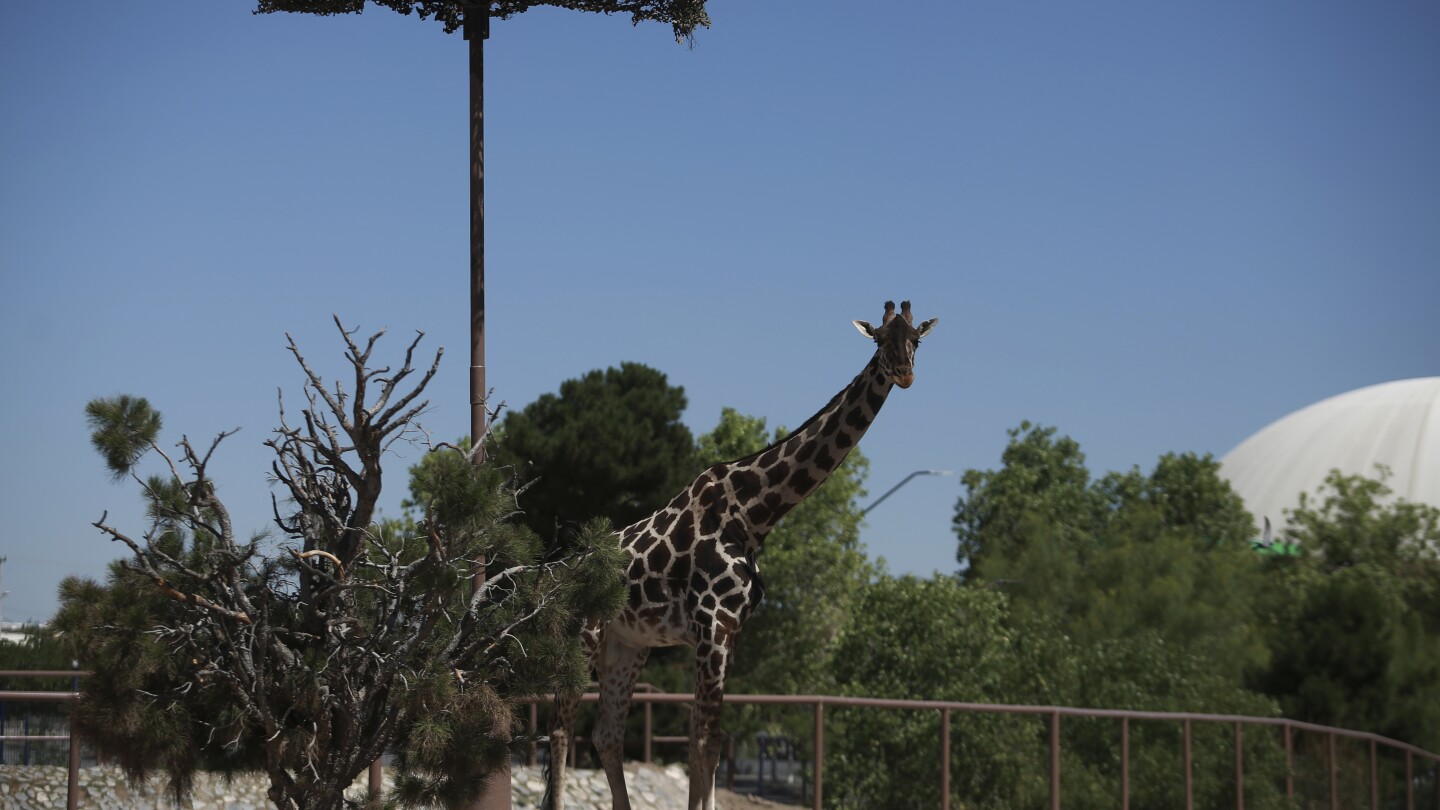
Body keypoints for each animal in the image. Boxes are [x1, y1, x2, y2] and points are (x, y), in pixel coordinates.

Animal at [544, 298, 938, 807]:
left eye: (917, 340)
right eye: (880, 339)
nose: (905, 374)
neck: (754, 515)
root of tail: (557, 577)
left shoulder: (727, 633)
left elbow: (707, 742)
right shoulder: (711, 626)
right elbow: (704, 741)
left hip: (627, 646)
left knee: (605, 734)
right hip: (581, 636)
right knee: (559, 731)